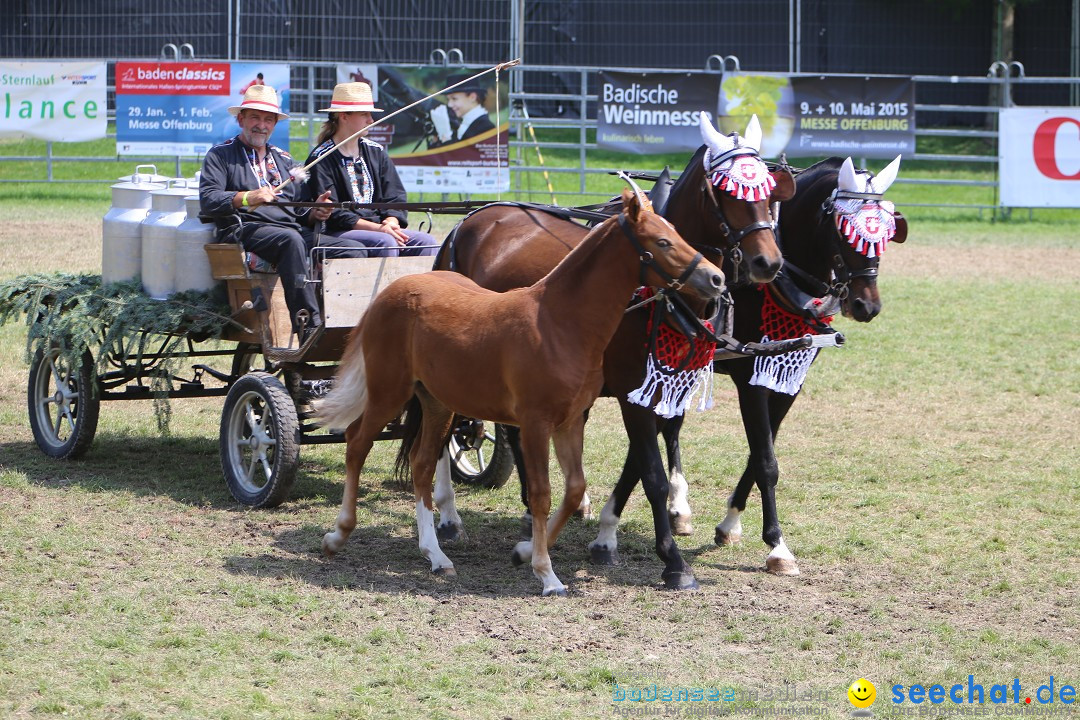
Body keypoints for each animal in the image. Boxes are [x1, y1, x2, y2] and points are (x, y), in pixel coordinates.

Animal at [315, 189, 730, 595]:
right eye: (662, 241)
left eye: (677, 231)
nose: (716, 278)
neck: (559, 322)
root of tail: (390, 291)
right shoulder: (536, 423)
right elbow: (543, 494)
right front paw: (547, 574)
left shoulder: (570, 421)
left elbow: (574, 489)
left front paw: (525, 551)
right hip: (389, 391)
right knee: (358, 442)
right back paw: (338, 535)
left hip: (437, 403)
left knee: (421, 464)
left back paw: (436, 555)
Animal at [427, 111, 794, 587]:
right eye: (728, 191)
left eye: (769, 191)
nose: (768, 263)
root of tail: (471, 219)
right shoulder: (630, 390)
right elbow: (652, 473)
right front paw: (672, 561)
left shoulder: (663, 387)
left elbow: (651, 460)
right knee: (444, 427)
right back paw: (449, 515)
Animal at [596, 155, 907, 578]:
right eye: (846, 231)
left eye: (887, 233)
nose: (867, 305)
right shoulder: (750, 380)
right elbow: (764, 460)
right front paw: (777, 545)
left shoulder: (788, 379)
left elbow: (762, 452)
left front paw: (732, 524)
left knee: (670, 427)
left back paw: (678, 506)